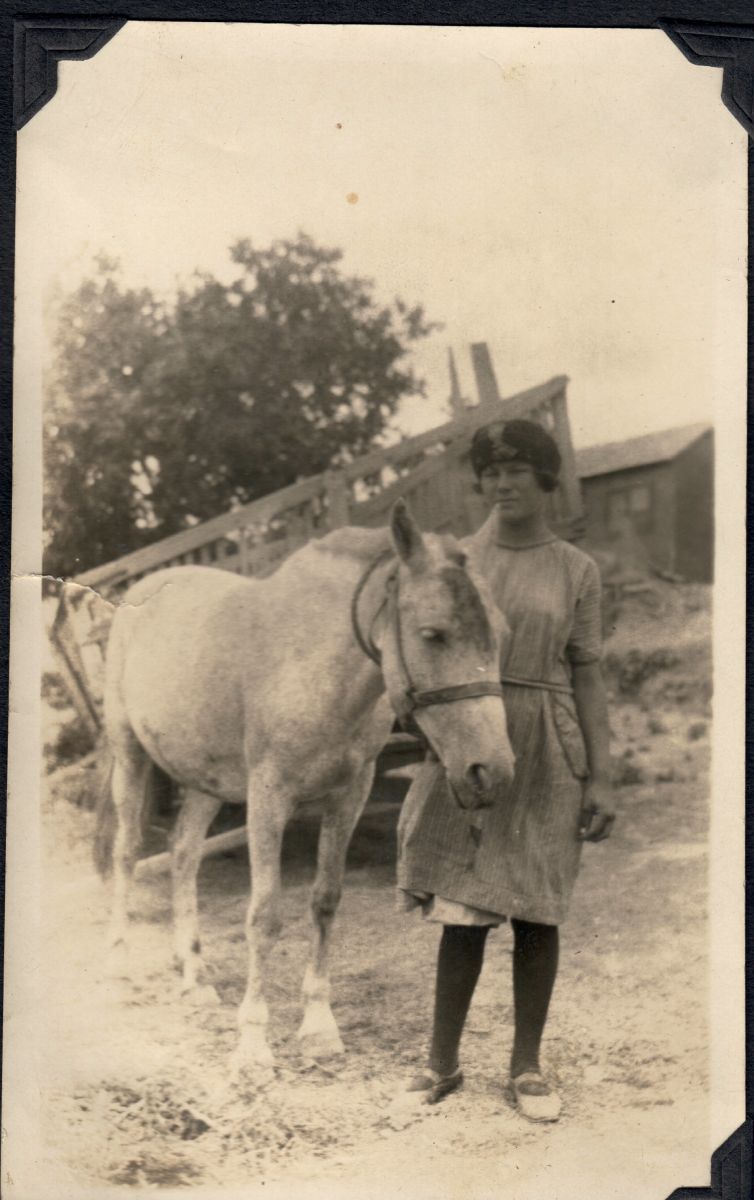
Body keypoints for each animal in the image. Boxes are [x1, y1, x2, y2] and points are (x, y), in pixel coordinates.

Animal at [94, 500, 515, 1079]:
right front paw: (253, 1043)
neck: (315, 663)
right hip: (131, 754)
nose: (491, 772)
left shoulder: (349, 795)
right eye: (433, 633)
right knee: (127, 850)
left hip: (205, 781)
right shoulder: (270, 797)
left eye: (500, 631)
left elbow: (325, 901)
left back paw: (195, 975)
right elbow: (265, 914)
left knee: (182, 853)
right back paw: (118, 958)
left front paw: (318, 1026)